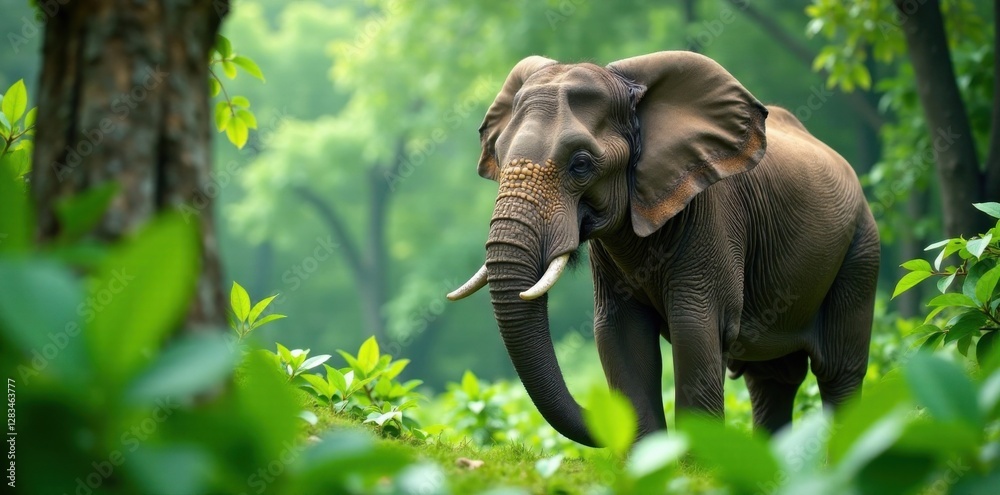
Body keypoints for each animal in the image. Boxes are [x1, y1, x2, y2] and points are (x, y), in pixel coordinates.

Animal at [447, 51, 879, 447]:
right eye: (499, 156)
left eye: (581, 164)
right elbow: (618, 333)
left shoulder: (712, 219)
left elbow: (695, 329)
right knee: (772, 378)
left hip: (861, 250)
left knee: (838, 370)